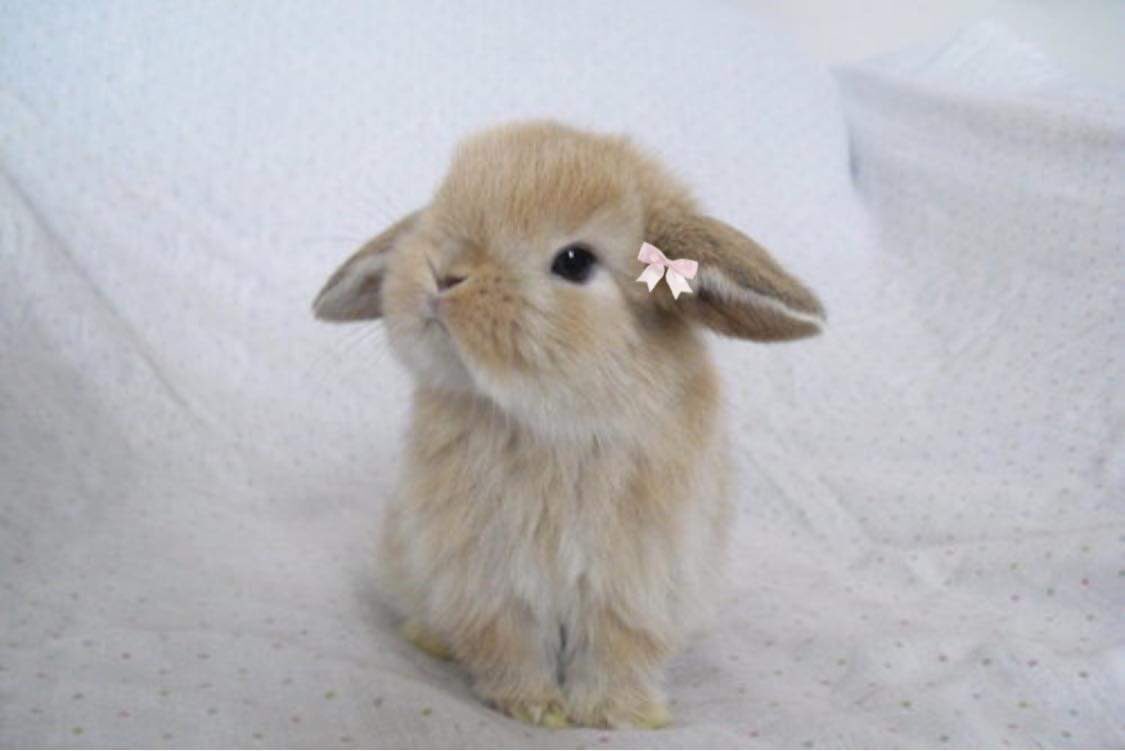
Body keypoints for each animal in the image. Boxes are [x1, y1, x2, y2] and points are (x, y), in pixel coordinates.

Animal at [312, 120, 824, 729]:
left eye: (575, 262)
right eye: (440, 208)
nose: (442, 275)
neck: (552, 421)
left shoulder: (631, 585)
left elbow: (617, 650)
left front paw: (617, 715)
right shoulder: (489, 579)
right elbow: (507, 643)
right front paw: (533, 708)